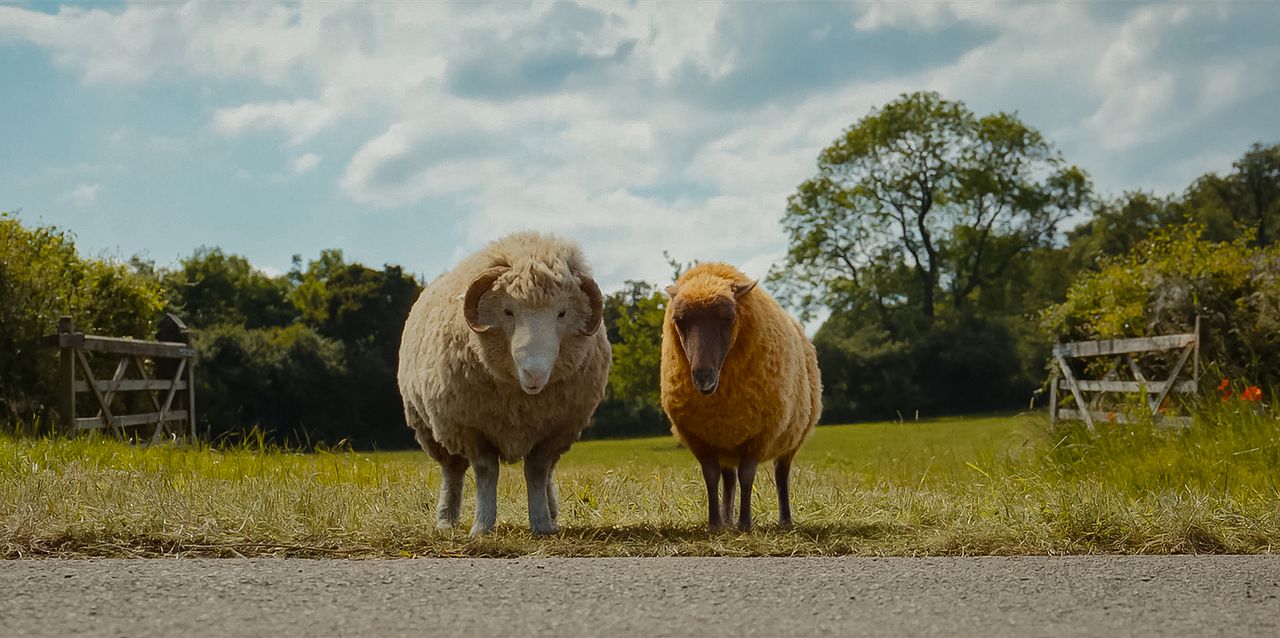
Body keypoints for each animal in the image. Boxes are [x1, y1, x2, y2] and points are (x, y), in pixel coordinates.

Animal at [397, 231, 611, 536]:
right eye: (508, 312)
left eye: (562, 314)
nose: (534, 374)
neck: (520, 400)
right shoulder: (472, 429)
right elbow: (487, 473)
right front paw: (482, 526)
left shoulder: (555, 431)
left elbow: (537, 472)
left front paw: (542, 524)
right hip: (431, 428)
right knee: (452, 472)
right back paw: (446, 520)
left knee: (547, 474)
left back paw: (552, 512)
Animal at [660, 262, 821, 531]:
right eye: (679, 320)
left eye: (728, 318)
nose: (703, 376)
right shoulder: (700, 438)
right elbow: (711, 477)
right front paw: (715, 524)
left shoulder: (759, 435)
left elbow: (747, 476)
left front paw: (745, 523)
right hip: (726, 442)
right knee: (728, 479)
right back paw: (727, 519)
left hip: (791, 438)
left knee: (781, 475)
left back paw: (785, 520)